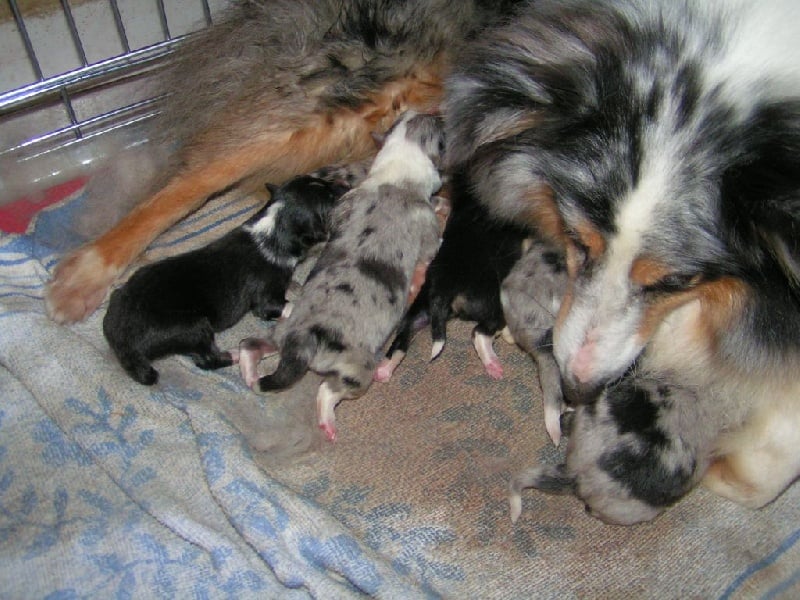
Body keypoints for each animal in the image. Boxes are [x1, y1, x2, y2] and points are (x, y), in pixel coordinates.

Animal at [102, 176, 344, 386]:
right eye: (330, 197)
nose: (345, 184)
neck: (274, 228)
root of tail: (122, 341)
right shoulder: (267, 299)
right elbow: (287, 306)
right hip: (194, 328)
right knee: (207, 360)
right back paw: (235, 354)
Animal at [250, 111, 444, 440]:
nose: (441, 113)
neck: (396, 173)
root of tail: (303, 339)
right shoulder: (428, 235)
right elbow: (433, 244)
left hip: (279, 332)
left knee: (251, 346)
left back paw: (249, 373)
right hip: (358, 369)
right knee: (327, 391)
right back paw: (327, 424)